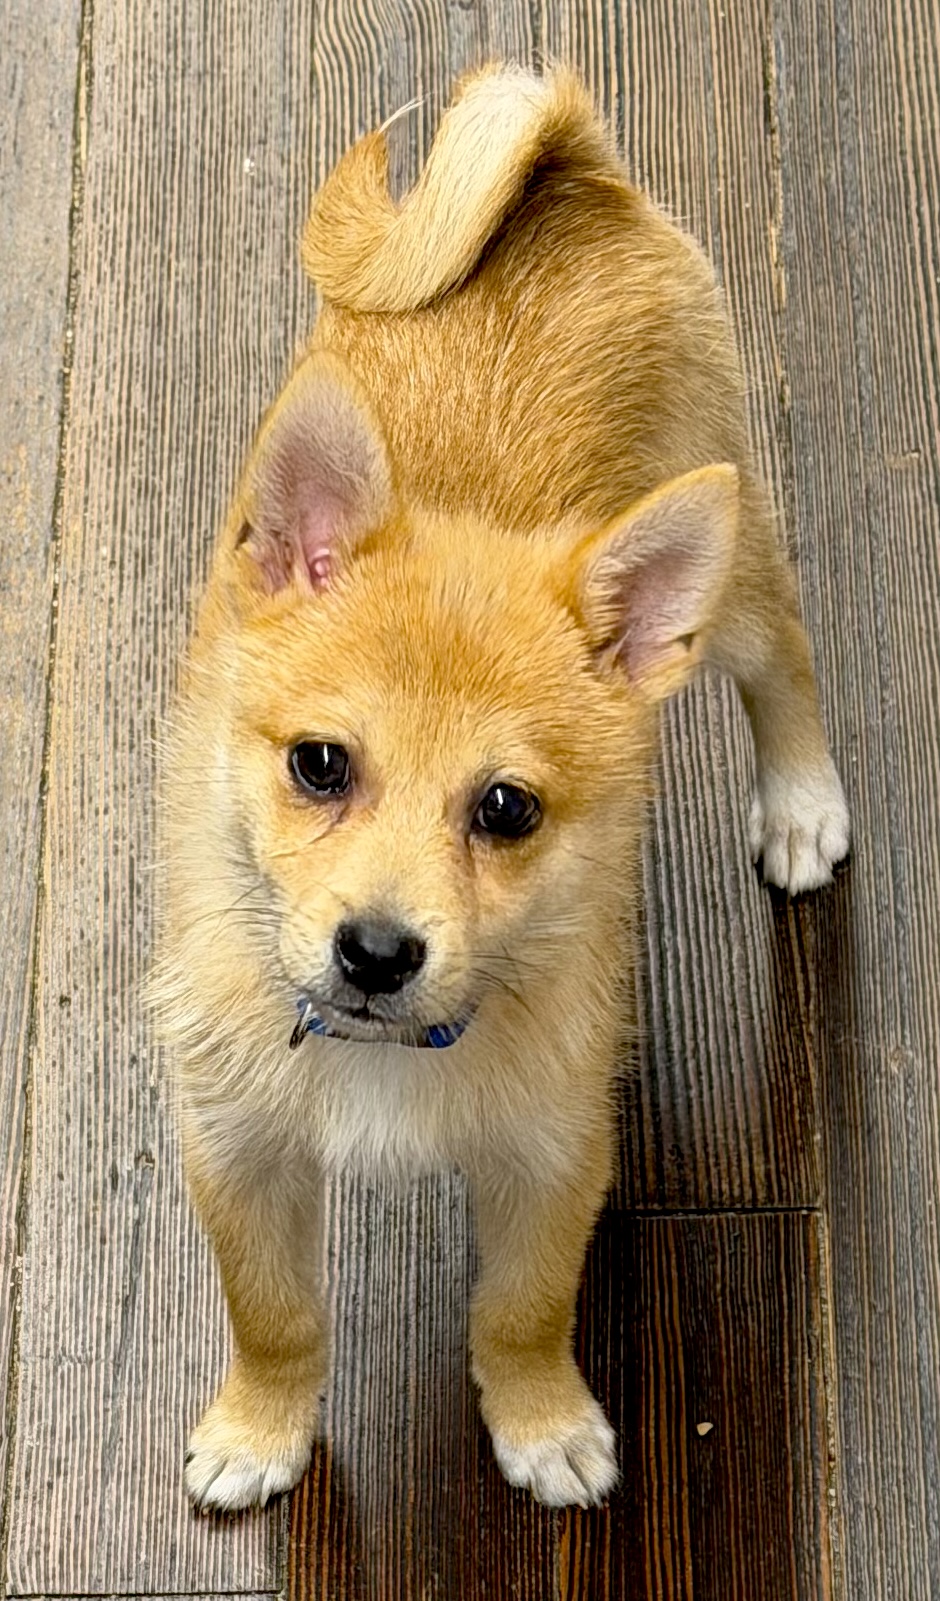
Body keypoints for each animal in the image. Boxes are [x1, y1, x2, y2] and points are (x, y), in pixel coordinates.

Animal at [153, 64, 850, 1512]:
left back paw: (803, 803)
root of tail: (565, 158)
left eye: (508, 811)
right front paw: (261, 1428)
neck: (384, 1056)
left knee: (785, 660)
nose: (375, 951)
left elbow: (521, 1311)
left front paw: (542, 1423)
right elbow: (274, 1313)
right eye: (319, 764)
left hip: (727, 591)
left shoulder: (551, 1152)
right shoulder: (235, 1148)